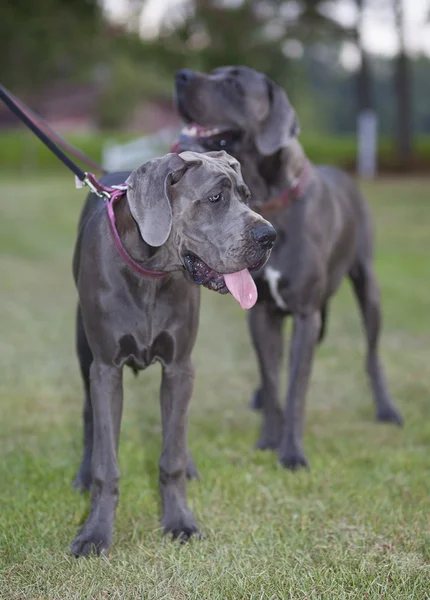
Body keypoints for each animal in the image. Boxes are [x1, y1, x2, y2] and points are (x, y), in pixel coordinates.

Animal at [71, 151, 276, 556]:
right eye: (215, 198)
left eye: (246, 195)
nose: (270, 236)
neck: (150, 273)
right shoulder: (106, 369)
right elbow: (106, 462)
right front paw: (95, 533)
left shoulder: (180, 368)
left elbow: (173, 455)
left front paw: (179, 520)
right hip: (83, 349)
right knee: (89, 417)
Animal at [174, 64, 404, 468]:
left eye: (233, 82)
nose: (182, 75)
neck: (269, 201)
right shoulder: (261, 312)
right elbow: (271, 378)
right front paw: (269, 438)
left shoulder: (305, 314)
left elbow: (296, 388)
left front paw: (293, 453)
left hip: (367, 286)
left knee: (372, 354)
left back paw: (386, 409)